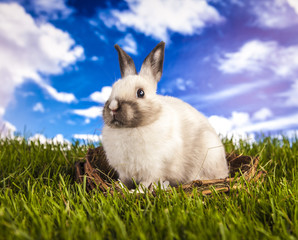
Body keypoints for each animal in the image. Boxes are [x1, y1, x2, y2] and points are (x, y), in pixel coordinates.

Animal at [101, 41, 229, 189]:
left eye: (140, 93)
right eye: (112, 89)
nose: (113, 107)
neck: (131, 128)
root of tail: (225, 169)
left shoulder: (154, 169)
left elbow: (146, 183)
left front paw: (137, 191)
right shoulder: (124, 172)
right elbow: (124, 181)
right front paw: (118, 187)